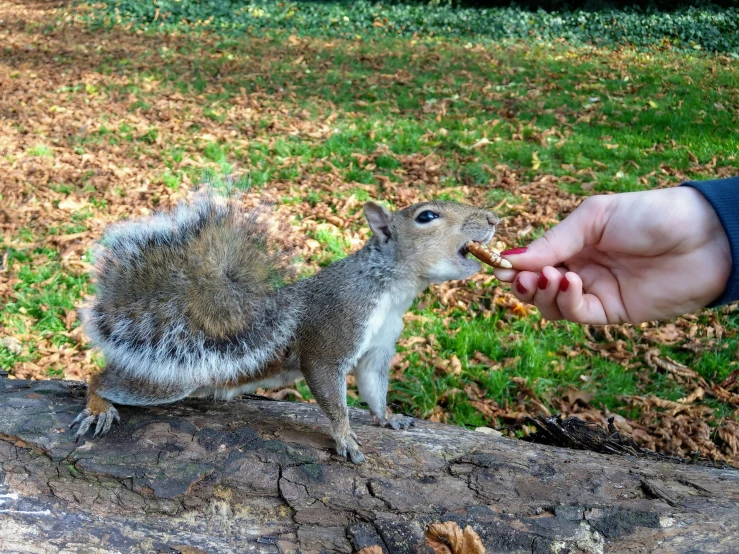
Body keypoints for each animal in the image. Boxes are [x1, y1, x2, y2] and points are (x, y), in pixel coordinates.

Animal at [72, 190, 502, 462]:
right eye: (426, 216)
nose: (494, 218)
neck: (392, 286)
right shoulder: (334, 330)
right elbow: (330, 390)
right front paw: (345, 437)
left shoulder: (378, 349)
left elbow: (373, 388)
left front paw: (388, 418)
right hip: (167, 382)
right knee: (102, 378)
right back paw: (98, 405)